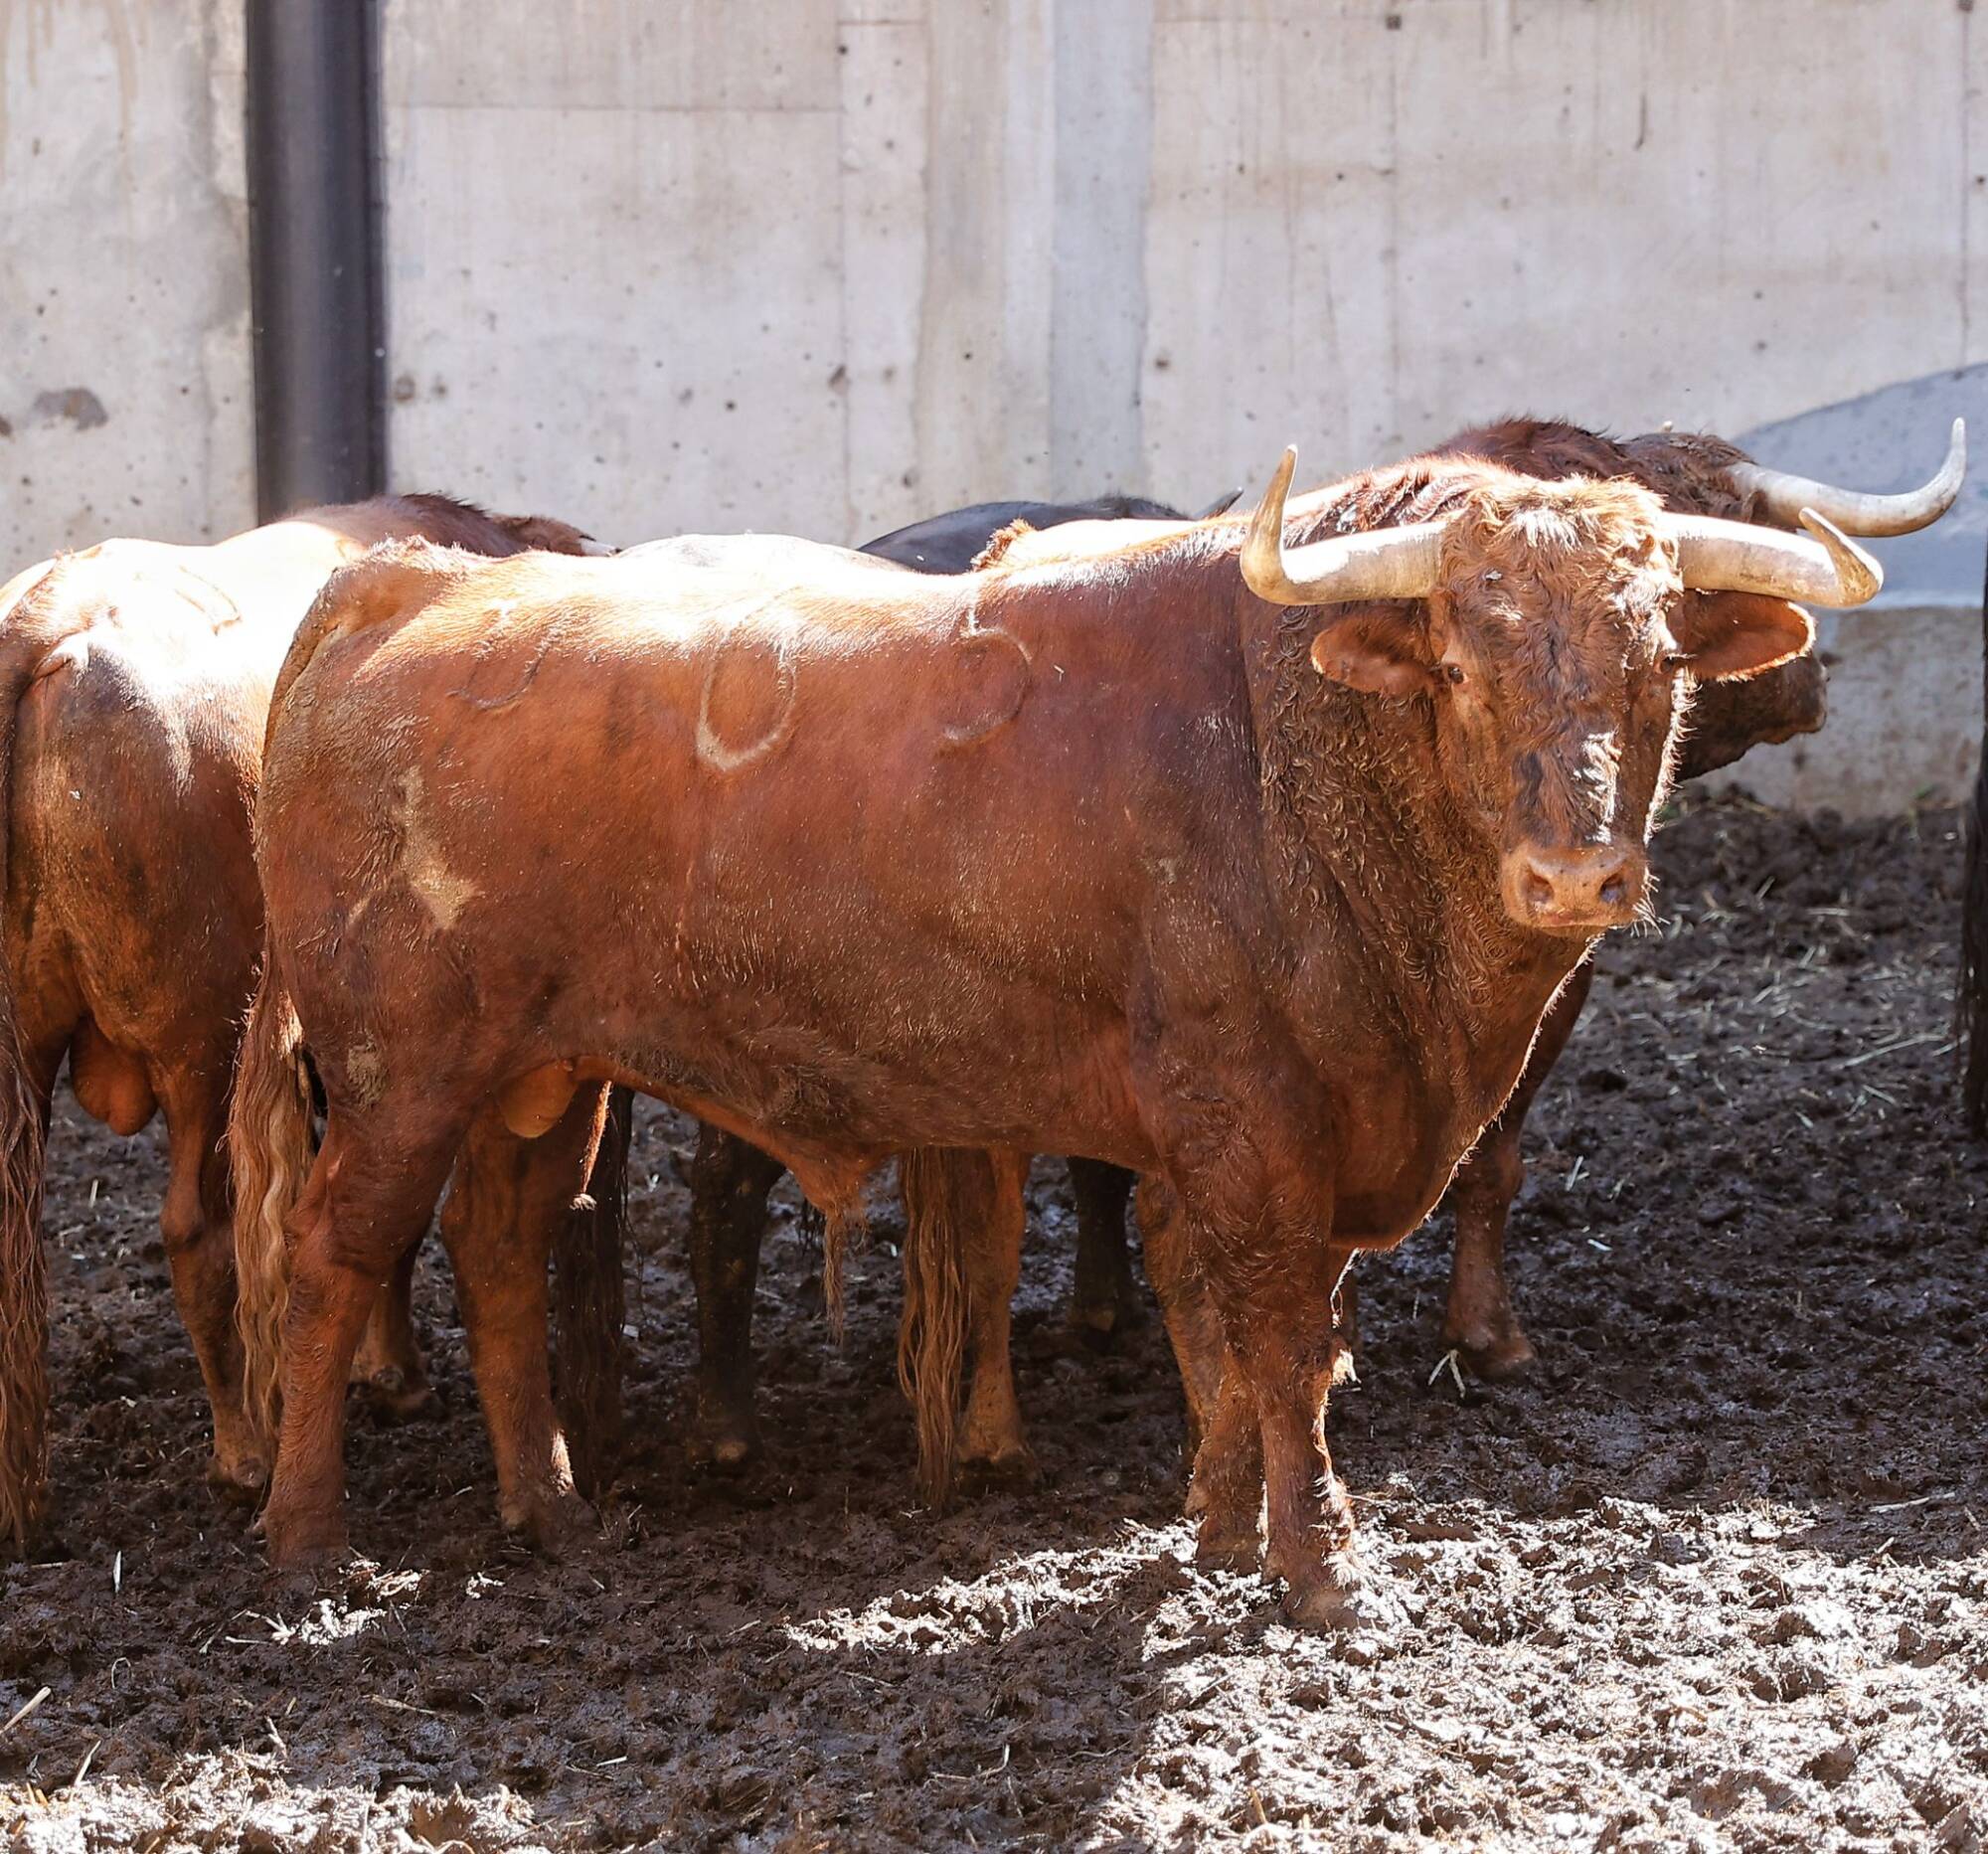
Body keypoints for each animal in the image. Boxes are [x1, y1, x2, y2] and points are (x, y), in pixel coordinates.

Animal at [0, 496, 601, 1547]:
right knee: (199, 1231)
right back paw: (244, 1456)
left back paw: (22, 1505)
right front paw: (393, 1376)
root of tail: (50, 612)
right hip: (200, 1038)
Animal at [229, 444, 1880, 1624]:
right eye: (1462, 660)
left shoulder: (1262, 1137)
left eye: (1656, 662)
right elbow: (1282, 1337)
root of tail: (403, 589)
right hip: (400, 1076)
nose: (1575, 878)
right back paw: (308, 1540)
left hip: (542, 1078)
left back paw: (552, 1509)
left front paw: (1221, 1527)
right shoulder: (1257, 1127)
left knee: (503, 1256)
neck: (1293, 764)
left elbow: (1235, 1334)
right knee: (333, 1263)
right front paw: (1321, 1566)